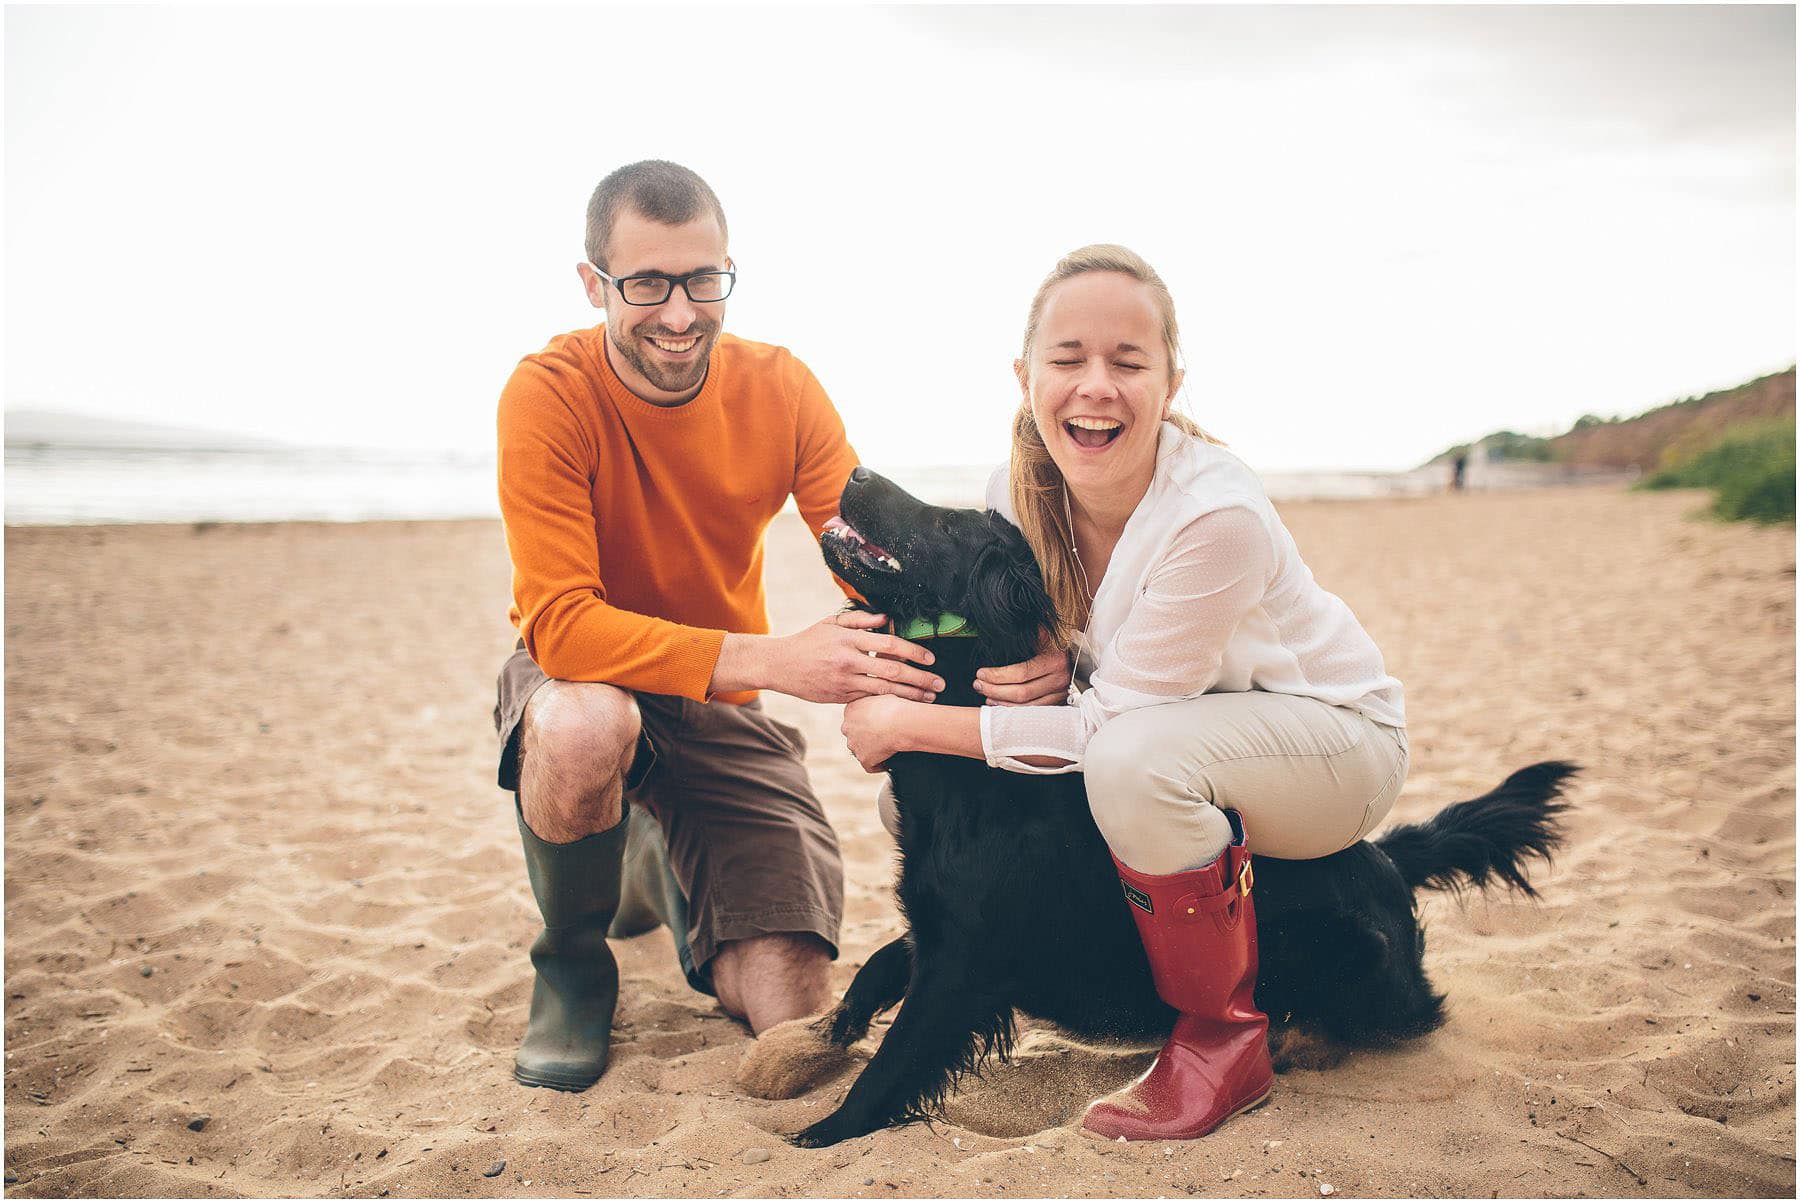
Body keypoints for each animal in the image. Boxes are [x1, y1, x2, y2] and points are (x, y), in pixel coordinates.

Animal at [802, 468, 1576, 1145]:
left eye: (943, 522)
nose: (857, 472)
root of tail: (1383, 855)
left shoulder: (963, 958)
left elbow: (894, 1061)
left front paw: (823, 1130)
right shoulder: (936, 927)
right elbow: (882, 960)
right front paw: (834, 1025)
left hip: (1351, 948)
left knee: (1400, 1015)